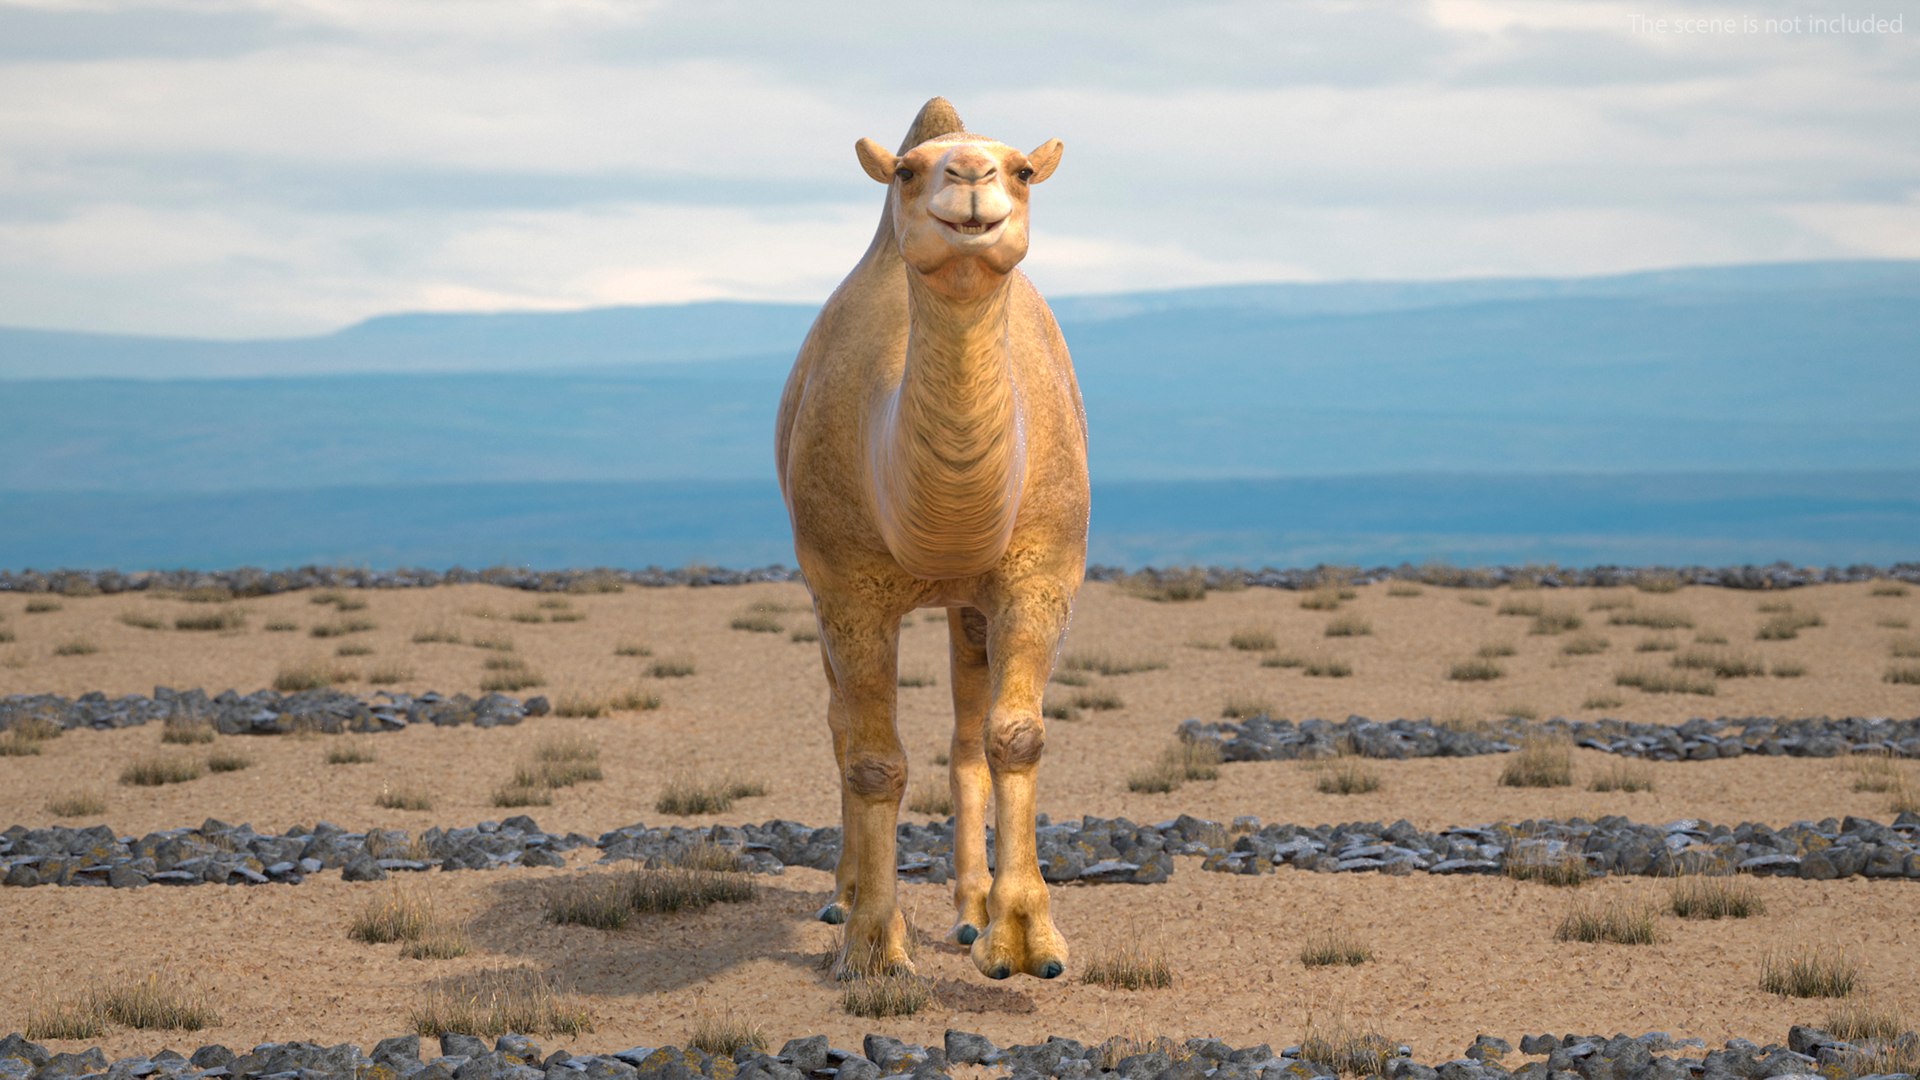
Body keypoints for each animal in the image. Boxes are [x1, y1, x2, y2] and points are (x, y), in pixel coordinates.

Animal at [774, 97, 1088, 981]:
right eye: (908, 170)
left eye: (1023, 168)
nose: (972, 177)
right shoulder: (847, 586)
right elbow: (875, 759)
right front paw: (874, 948)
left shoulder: (1040, 574)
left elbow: (1015, 736)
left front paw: (1026, 941)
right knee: (842, 725)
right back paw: (845, 897)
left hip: (969, 605)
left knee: (966, 730)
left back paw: (972, 911)